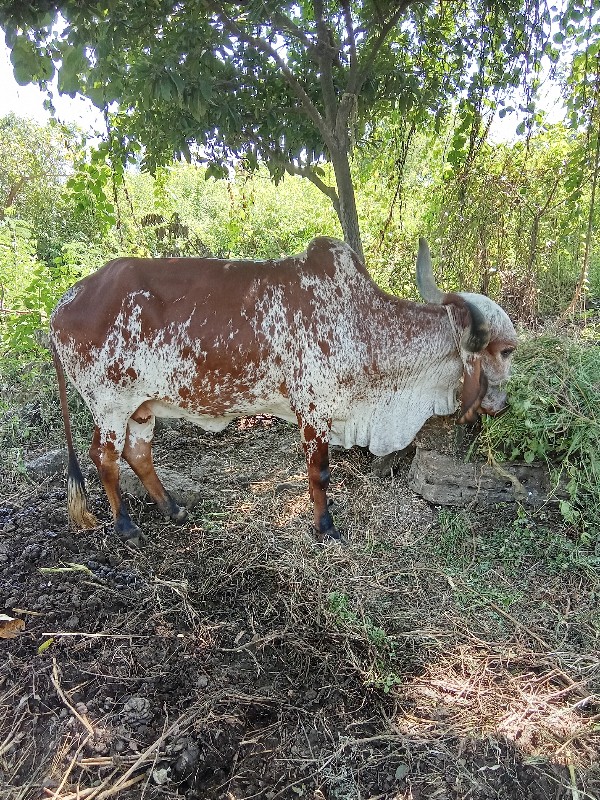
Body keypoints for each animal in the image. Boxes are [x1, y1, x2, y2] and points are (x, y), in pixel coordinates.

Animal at [50, 234, 516, 548]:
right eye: (507, 350)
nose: (503, 405)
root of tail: (63, 303)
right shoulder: (314, 410)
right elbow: (320, 475)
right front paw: (325, 528)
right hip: (110, 404)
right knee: (105, 459)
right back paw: (126, 526)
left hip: (141, 407)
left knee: (138, 454)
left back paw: (172, 508)